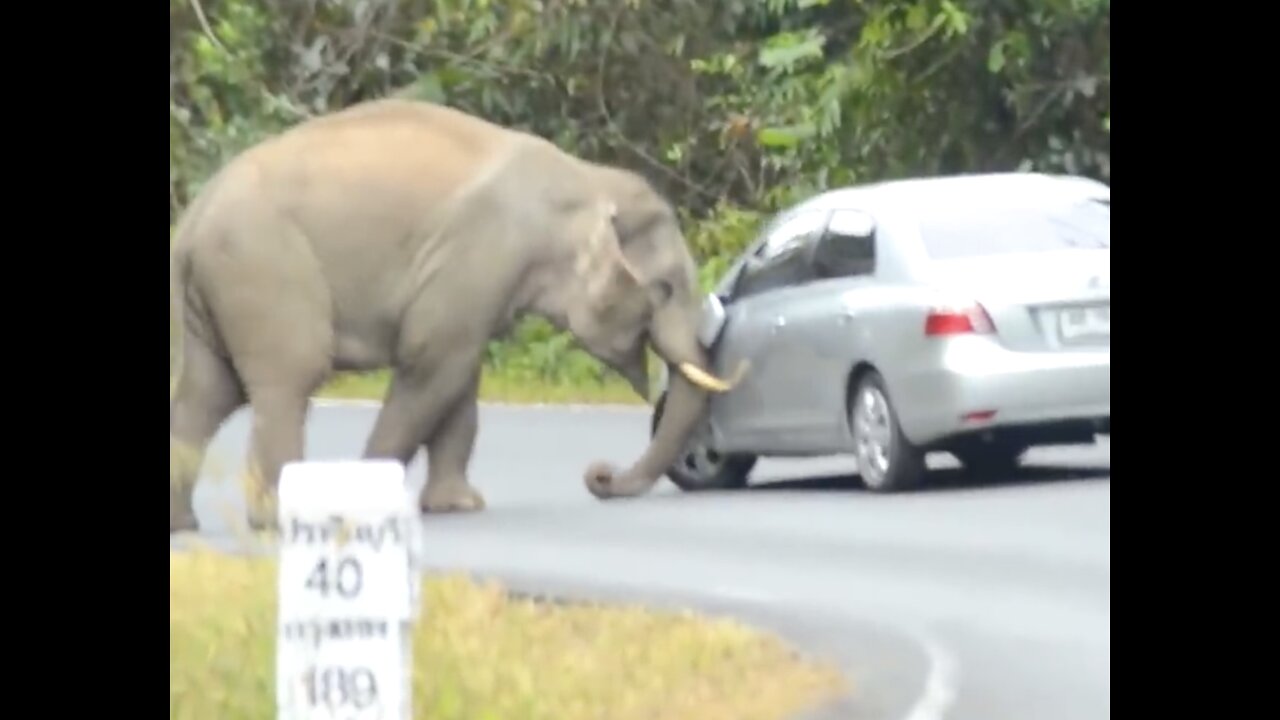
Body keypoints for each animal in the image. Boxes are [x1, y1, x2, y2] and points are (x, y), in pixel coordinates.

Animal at [170, 96, 747, 532]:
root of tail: (192, 221)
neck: (583, 179)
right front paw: (365, 504)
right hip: (264, 268)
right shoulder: (480, 254)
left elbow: (460, 381)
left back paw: (186, 527)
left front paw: (458, 506)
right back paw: (276, 522)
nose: (600, 476)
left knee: (208, 392)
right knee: (288, 379)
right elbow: (432, 367)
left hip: (218, 288)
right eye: (666, 289)